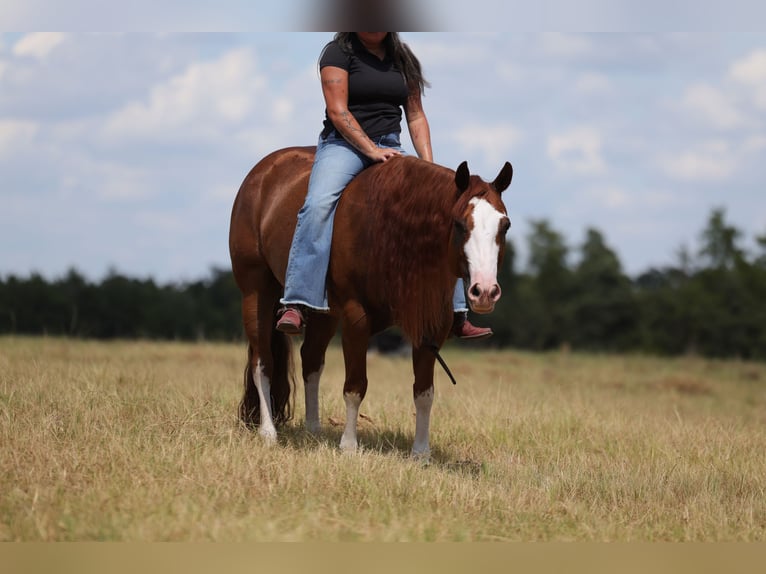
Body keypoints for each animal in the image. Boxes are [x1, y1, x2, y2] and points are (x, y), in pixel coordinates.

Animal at [228, 146, 513, 458]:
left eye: (505, 226)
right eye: (460, 224)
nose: (484, 291)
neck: (393, 231)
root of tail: (263, 171)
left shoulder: (431, 326)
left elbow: (424, 392)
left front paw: (421, 452)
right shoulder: (356, 318)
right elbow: (355, 386)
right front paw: (349, 446)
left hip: (324, 314)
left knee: (311, 361)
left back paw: (313, 429)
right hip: (256, 293)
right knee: (262, 361)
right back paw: (268, 431)